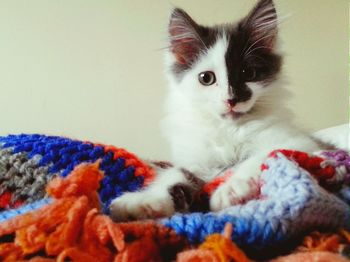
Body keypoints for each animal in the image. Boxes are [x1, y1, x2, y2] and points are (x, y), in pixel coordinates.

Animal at [110, 0, 322, 221]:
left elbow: (263, 156)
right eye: (206, 78)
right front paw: (143, 202)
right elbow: (174, 175)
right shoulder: (196, 162)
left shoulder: (298, 142)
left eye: (249, 73)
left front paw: (231, 189)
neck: (227, 128)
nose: (231, 99)